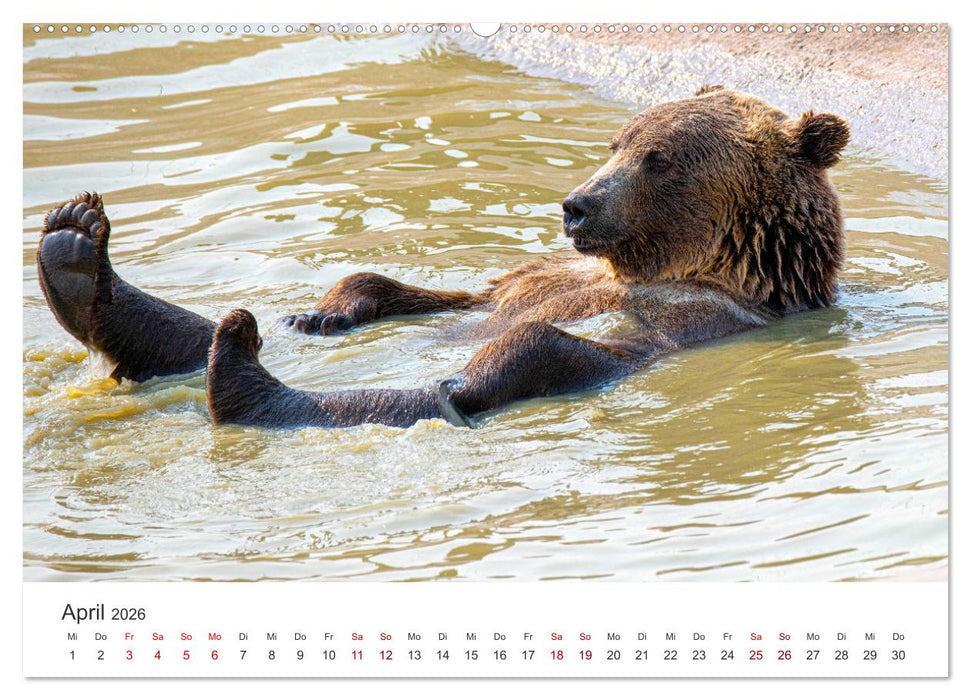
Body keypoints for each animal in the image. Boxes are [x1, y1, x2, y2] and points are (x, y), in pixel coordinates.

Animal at [37, 86, 850, 429]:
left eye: (659, 158)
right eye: (618, 141)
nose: (577, 204)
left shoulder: (696, 318)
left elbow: (557, 337)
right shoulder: (533, 274)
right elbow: (420, 288)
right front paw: (324, 313)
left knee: (490, 370)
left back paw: (242, 376)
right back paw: (75, 249)